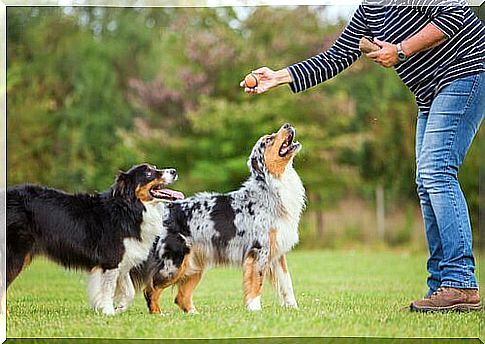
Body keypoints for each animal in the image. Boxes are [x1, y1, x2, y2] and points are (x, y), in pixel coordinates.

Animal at [8, 163, 183, 314]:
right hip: (16, 256)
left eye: (154, 167)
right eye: (148, 173)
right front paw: (108, 311)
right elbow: (108, 288)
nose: (174, 171)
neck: (128, 208)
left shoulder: (123, 260)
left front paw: (120, 308)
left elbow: (129, 291)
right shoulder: (111, 260)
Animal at [131, 124, 306, 314]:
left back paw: (194, 314)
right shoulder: (259, 250)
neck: (270, 188)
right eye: (268, 140)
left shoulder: (277, 254)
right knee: (150, 289)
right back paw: (158, 314)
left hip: (194, 265)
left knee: (181, 297)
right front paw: (255, 309)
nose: (287, 125)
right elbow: (256, 282)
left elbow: (287, 284)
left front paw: (294, 308)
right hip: (173, 264)